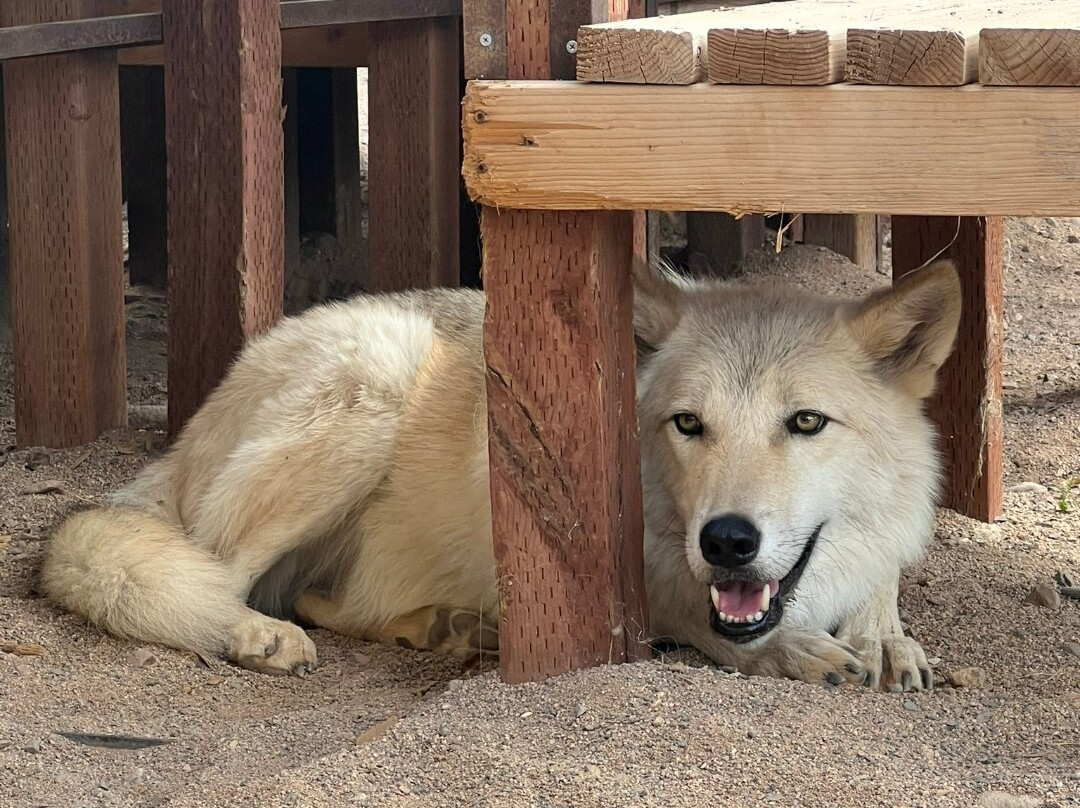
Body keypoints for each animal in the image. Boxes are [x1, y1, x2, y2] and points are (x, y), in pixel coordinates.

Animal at [40, 259, 961, 691]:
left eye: (805, 423)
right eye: (688, 425)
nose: (727, 541)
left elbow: (879, 595)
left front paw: (884, 637)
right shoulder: (611, 573)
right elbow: (695, 619)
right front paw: (793, 649)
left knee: (319, 598)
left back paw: (451, 627)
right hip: (379, 374)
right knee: (207, 579)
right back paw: (256, 636)